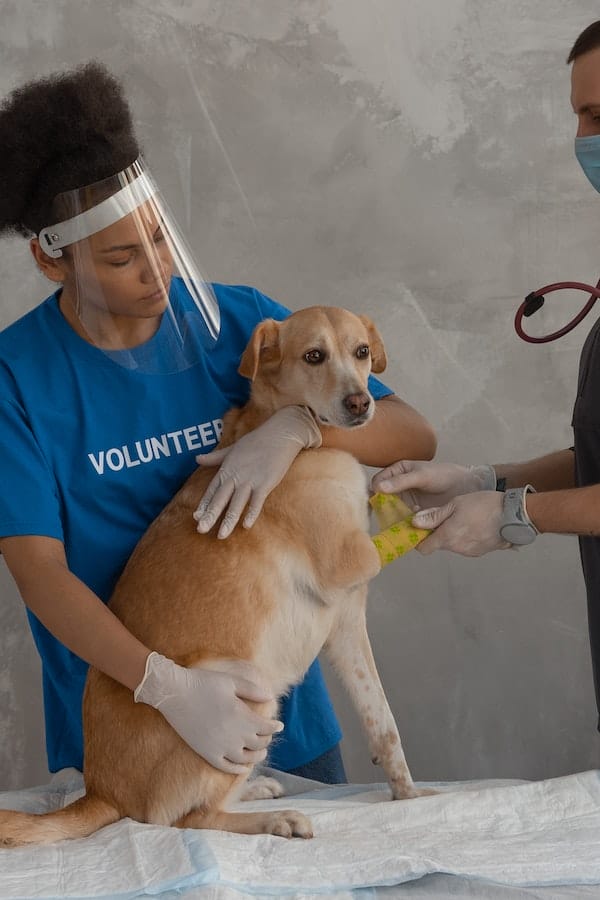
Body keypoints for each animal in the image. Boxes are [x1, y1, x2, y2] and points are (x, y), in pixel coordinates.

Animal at [0, 306, 432, 848]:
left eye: (361, 352)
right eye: (314, 356)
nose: (360, 403)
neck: (291, 434)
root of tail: (102, 792)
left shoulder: (347, 625)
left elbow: (383, 722)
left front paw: (409, 794)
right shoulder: (348, 562)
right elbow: (400, 533)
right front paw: (435, 511)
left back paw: (258, 791)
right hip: (245, 694)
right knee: (184, 819)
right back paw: (272, 819)